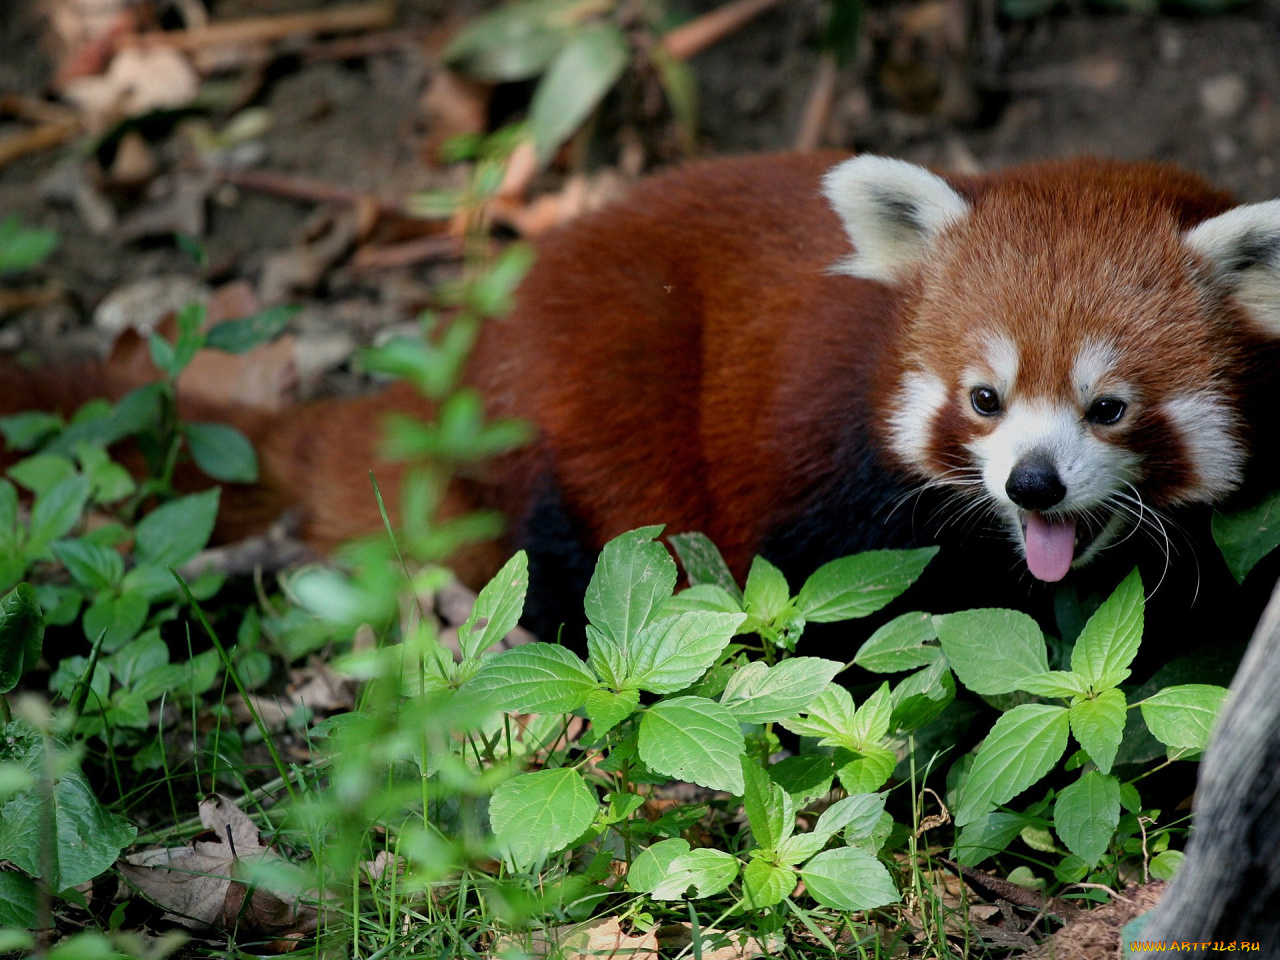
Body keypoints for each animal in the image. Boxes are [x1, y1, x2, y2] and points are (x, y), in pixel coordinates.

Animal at [2, 152, 1280, 640]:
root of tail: (461, 355)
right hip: (583, 404)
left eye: (1107, 407)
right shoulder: (831, 482)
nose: (1030, 484)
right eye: (982, 397)